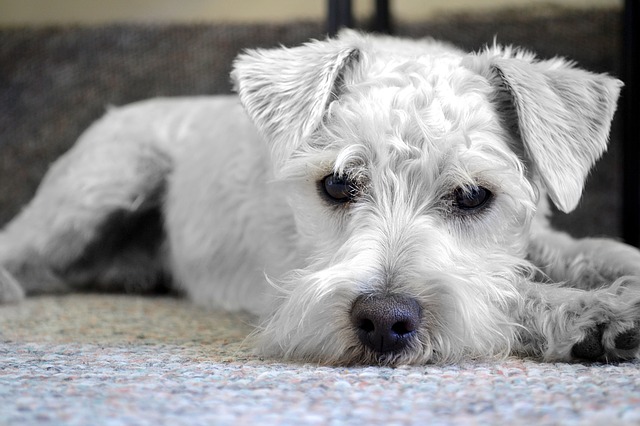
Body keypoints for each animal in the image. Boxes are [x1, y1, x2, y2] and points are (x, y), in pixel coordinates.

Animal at [1, 30, 640, 366]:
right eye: (335, 184)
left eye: (472, 194)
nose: (383, 322)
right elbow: (512, 295)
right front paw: (597, 314)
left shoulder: (535, 239)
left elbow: (588, 251)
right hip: (99, 187)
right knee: (21, 246)